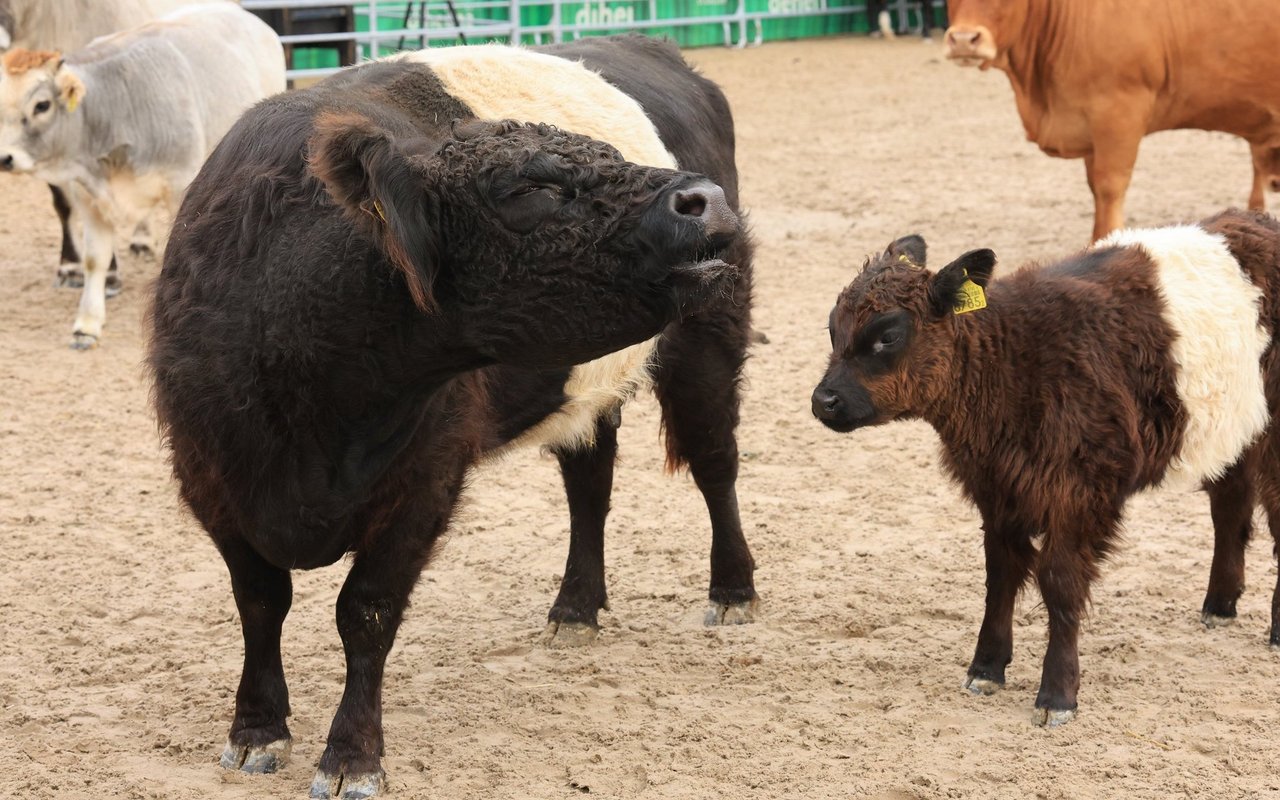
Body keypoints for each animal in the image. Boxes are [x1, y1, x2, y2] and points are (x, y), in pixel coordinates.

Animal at [148, 37, 755, 798]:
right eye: (528, 189)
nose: (702, 200)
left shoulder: (425, 482)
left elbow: (365, 611)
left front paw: (351, 755)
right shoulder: (211, 476)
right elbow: (260, 603)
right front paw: (256, 729)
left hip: (711, 336)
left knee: (714, 463)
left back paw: (733, 589)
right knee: (590, 487)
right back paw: (576, 606)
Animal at [812, 209, 1280, 726]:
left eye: (888, 335)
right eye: (832, 328)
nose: (823, 400)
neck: (1017, 362)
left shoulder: (1079, 493)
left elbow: (1059, 583)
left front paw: (1057, 693)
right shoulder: (998, 489)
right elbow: (1001, 575)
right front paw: (986, 668)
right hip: (1235, 429)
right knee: (1231, 507)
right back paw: (1220, 603)